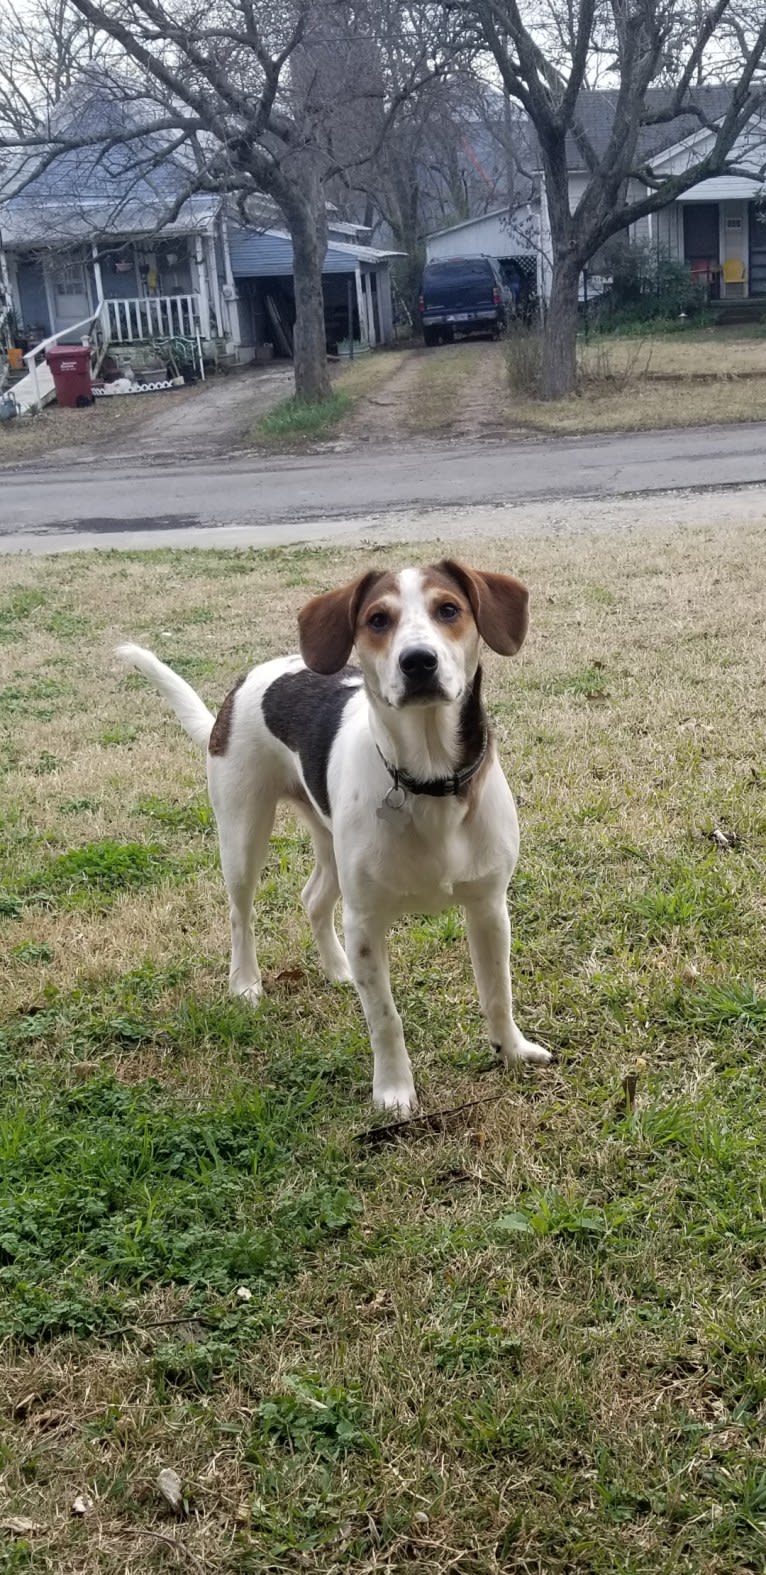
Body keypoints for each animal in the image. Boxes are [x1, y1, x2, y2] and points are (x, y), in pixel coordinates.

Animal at [118, 560, 551, 1115]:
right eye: (377, 619)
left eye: (449, 609)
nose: (418, 661)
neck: (428, 778)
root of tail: (246, 681)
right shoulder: (365, 920)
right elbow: (385, 1018)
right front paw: (394, 1091)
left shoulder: (489, 906)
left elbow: (498, 992)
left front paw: (512, 1051)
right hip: (242, 832)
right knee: (240, 913)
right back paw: (246, 982)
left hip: (327, 839)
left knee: (313, 898)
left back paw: (337, 967)